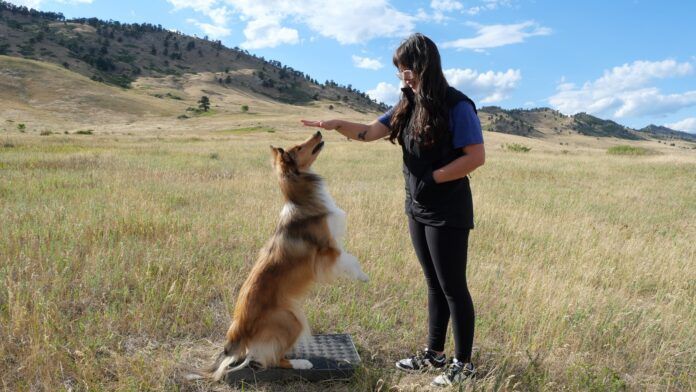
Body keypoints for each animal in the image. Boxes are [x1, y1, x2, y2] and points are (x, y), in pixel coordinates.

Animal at [192, 130, 370, 382]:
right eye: (299, 147)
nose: (318, 131)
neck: (301, 199)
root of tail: (236, 338)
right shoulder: (328, 250)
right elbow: (350, 259)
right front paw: (363, 276)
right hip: (292, 320)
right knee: (273, 359)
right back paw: (302, 363)